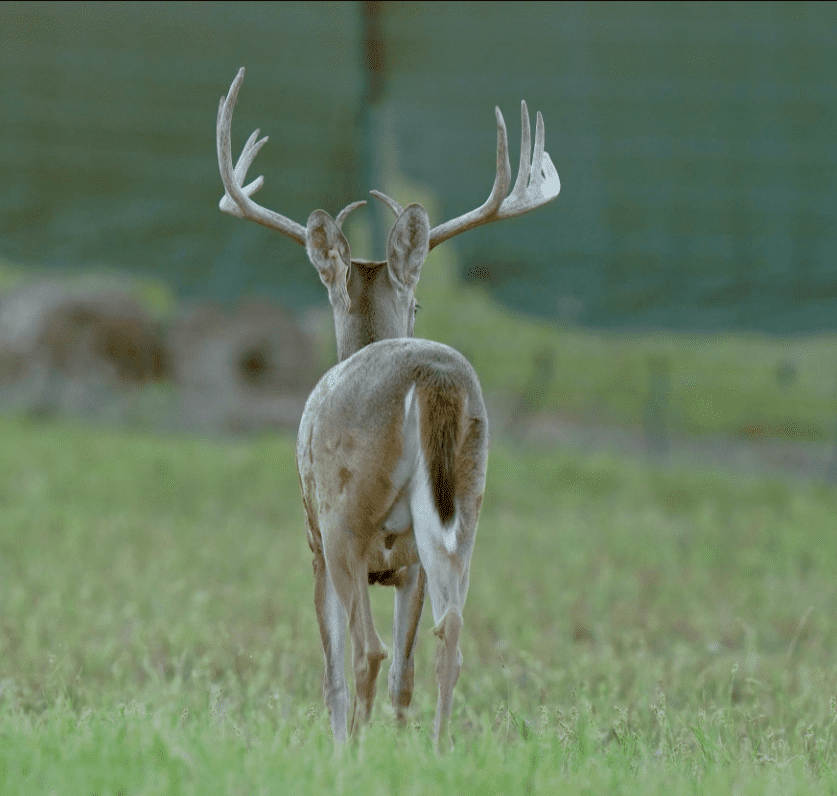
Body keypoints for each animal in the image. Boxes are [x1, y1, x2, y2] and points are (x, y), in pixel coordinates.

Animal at [216, 68, 560, 748]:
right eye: (418, 303)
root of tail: (433, 378)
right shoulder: (407, 567)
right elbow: (406, 668)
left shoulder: (315, 540)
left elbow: (334, 666)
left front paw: (344, 745)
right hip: (464, 508)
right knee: (448, 634)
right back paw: (437, 749)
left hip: (344, 515)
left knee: (366, 652)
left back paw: (353, 752)